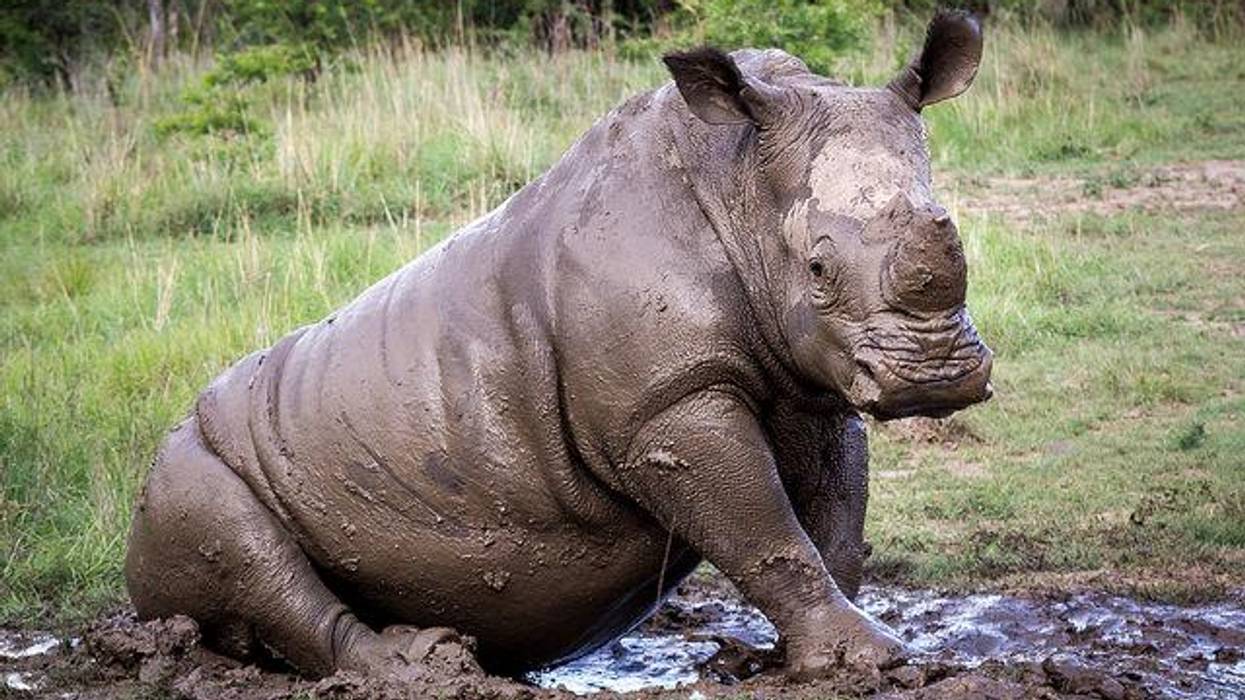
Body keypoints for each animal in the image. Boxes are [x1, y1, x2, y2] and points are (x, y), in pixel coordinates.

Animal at [126, 10, 991, 682]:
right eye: (815, 267)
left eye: (952, 229)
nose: (935, 378)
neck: (737, 181)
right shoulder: (665, 407)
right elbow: (765, 533)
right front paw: (874, 660)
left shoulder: (808, 380)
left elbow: (832, 527)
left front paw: (793, 663)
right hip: (183, 470)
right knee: (243, 544)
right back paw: (419, 665)